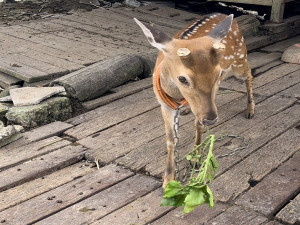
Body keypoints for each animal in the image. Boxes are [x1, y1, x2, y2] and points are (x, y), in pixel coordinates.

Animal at [135, 13, 254, 187]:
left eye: (218, 73)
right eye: (182, 78)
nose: (211, 119)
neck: (176, 94)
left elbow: (197, 124)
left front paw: (196, 158)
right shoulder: (164, 104)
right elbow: (170, 139)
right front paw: (168, 179)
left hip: (239, 59)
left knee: (250, 74)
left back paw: (250, 110)